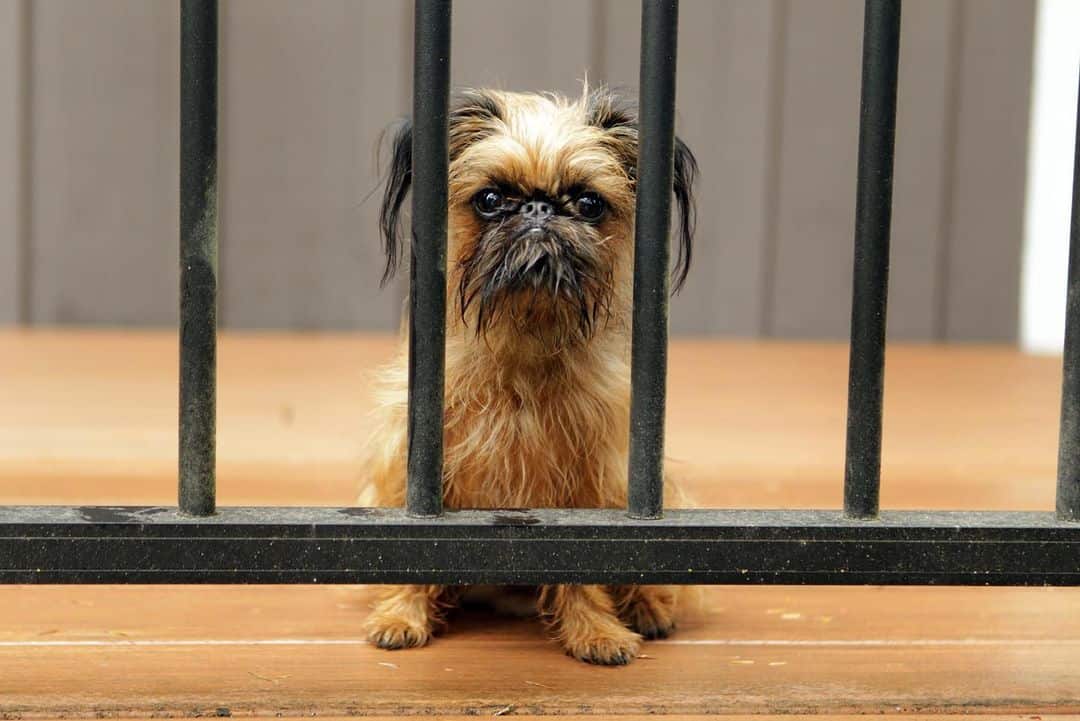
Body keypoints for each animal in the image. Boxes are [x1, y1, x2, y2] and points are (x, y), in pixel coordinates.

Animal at [360, 84, 699, 664]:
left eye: (588, 204)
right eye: (491, 199)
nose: (539, 208)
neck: (527, 337)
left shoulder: (590, 484)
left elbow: (585, 572)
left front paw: (596, 631)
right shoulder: (414, 468)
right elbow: (410, 554)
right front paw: (401, 615)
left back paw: (647, 606)